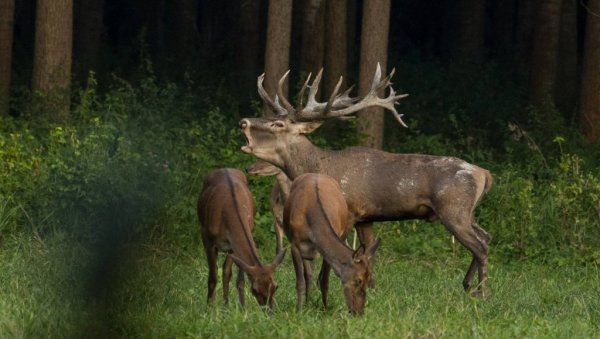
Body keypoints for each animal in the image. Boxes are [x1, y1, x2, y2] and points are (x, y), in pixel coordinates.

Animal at [198, 169, 288, 310]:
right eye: (255, 290)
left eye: (275, 286)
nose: (270, 311)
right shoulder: (208, 238)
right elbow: (212, 277)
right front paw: (209, 308)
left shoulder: (234, 244)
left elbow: (239, 280)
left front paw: (242, 308)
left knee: (226, 272)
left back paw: (226, 305)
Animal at [239, 63, 492, 298]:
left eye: (277, 124)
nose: (243, 122)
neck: (321, 168)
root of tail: (484, 174)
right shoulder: (365, 217)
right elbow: (369, 252)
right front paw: (372, 287)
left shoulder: (349, 210)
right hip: (466, 212)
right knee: (486, 237)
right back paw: (468, 285)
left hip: (453, 209)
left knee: (480, 246)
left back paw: (482, 293)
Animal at [282, 174, 378, 314]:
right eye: (358, 280)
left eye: (368, 278)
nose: (358, 311)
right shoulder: (294, 244)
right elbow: (300, 281)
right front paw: (299, 310)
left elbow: (324, 280)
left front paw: (326, 309)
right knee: (308, 275)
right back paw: (307, 302)